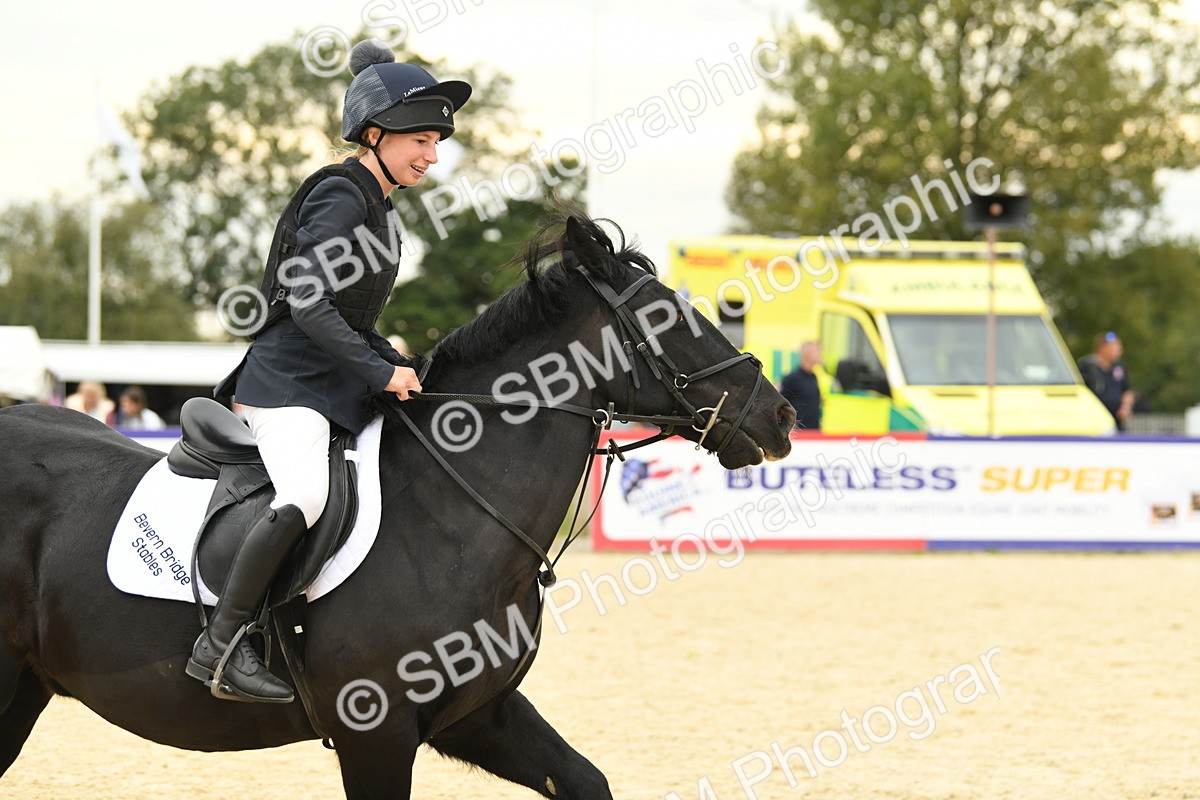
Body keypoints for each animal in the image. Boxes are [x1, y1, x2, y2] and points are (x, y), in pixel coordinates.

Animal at [0, 213, 794, 798]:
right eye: (668, 317)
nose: (780, 415)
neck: (451, 518)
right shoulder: (374, 734)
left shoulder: (479, 716)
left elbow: (585, 781)